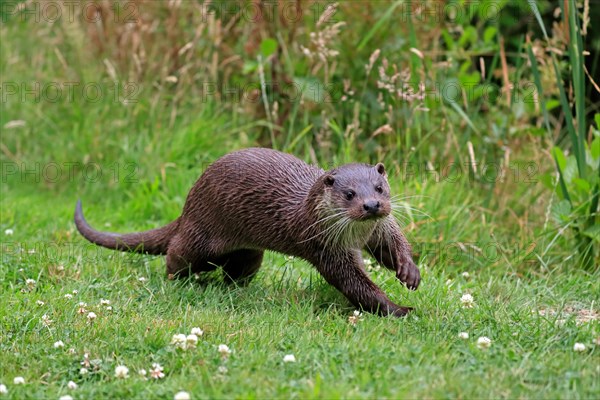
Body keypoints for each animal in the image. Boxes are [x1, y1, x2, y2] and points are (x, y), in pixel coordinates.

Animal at [74, 148, 422, 318]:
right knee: (176, 254)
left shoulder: (380, 229)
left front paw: (409, 271)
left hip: (251, 252)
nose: (372, 205)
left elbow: (393, 246)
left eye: (379, 188)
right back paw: (178, 281)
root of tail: (188, 204)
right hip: (199, 237)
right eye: (349, 194)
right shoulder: (326, 248)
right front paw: (398, 309)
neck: (356, 238)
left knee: (238, 269)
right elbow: (356, 284)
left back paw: (236, 289)